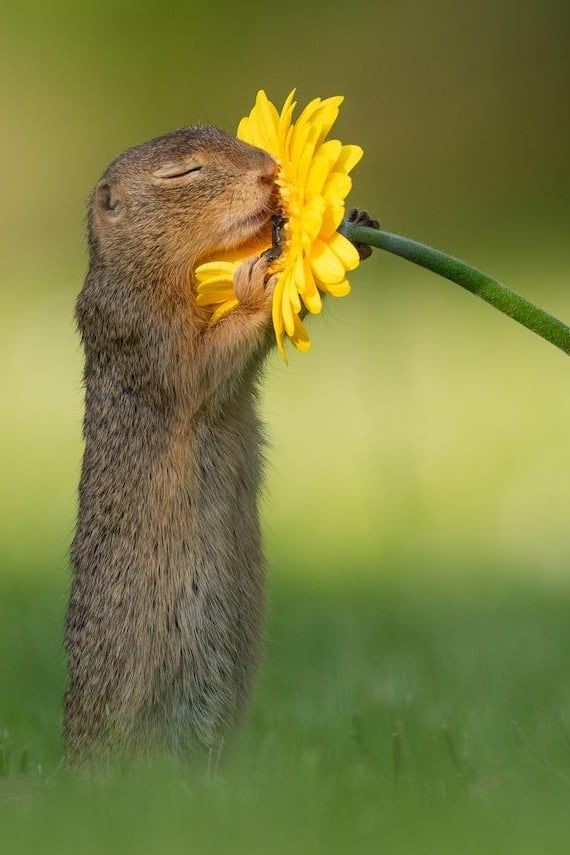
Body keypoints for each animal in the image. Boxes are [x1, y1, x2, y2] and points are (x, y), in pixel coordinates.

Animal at [64, 122, 377, 762]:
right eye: (182, 173)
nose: (268, 172)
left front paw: (350, 224)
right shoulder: (145, 333)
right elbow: (204, 363)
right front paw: (260, 279)